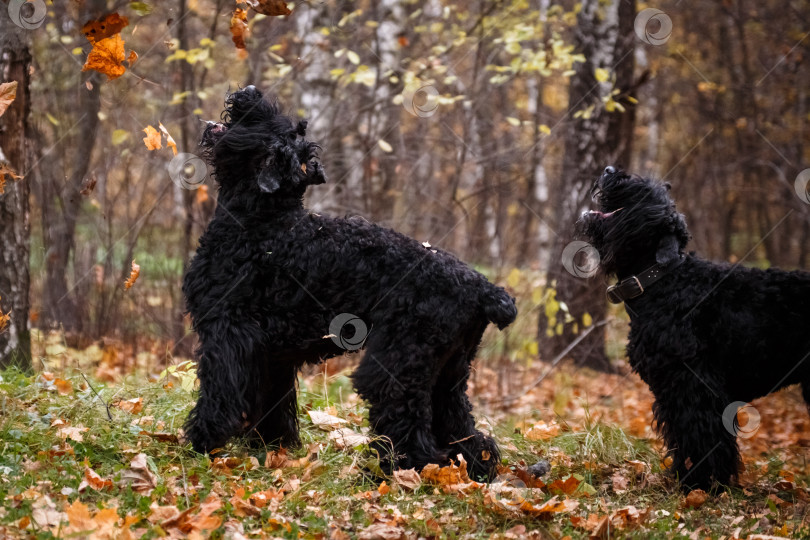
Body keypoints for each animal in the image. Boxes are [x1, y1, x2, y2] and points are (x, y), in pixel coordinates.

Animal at [182, 87, 516, 480]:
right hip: (448, 372)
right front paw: (271, 448)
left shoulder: (228, 335)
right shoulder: (271, 355)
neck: (260, 219)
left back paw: (401, 471)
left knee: (412, 427)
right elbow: (272, 406)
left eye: (274, 122)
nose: (249, 93)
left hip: (397, 368)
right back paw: (471, 469)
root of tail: (485, 289)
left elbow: (219, 394)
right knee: (464, 430)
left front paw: (203, 443)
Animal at [580, 167, 808, 492]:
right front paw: (682, 477)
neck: (662, 281)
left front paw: (702, 485)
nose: (609, 170)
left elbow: (703, 437)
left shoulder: (693, 386)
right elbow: (681, 436)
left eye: (646, 191)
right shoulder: (670, 392)